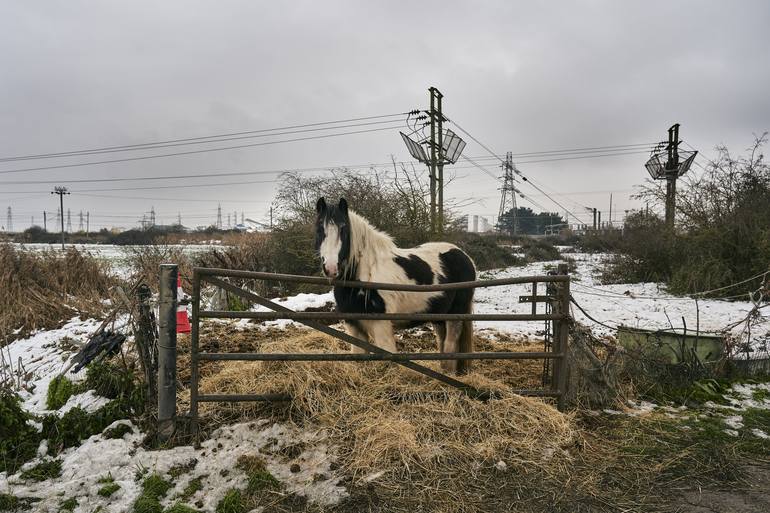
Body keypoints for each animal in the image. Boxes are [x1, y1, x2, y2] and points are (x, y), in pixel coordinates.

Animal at [314, 197, 474, 372]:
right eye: (319, 229)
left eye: (343, 229)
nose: (331, 268)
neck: (365, 273)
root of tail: (464, 255)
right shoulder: (353, 325)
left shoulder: (381, 325)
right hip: (438, 315)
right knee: (443, 340)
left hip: (456, 313)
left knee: (451, 342)